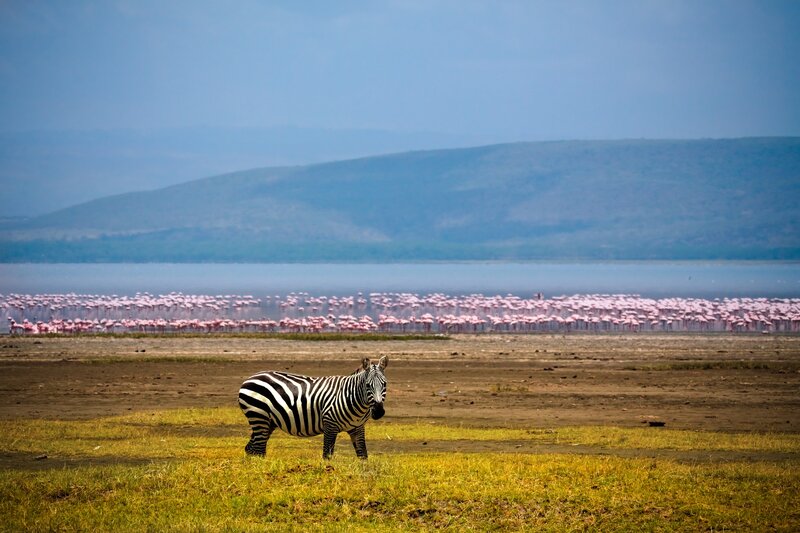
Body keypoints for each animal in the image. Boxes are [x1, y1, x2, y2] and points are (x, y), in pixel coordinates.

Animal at [238, 356, 388, 459]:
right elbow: (327, 455)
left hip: (268, 421)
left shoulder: (357, 428)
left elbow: (363, 455)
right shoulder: (330, 425)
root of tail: (249, 379)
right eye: (367, 385)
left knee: (251, 448)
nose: (379, 412)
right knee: (259, 449)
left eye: (385, 384)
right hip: (258, 416)